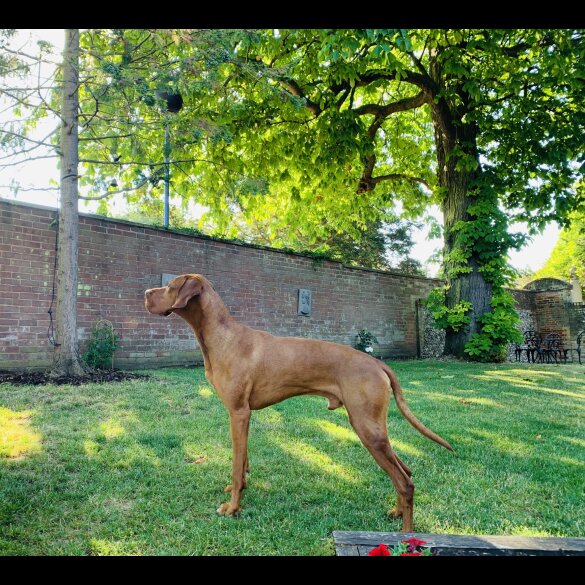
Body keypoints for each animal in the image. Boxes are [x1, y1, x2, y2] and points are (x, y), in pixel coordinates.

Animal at [145, 272, 452, 528]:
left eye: (170, 287)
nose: (147, 292)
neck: (222, 337)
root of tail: (377, 362)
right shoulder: (244, 416)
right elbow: (242, 463)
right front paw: (238, 491)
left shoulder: (238, 412)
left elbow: (235, 465)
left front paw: (232, 508)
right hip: (375, 429)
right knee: (406, 471)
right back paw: (397, 513)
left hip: (366, 428)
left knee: (405, 482)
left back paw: (406, 534)